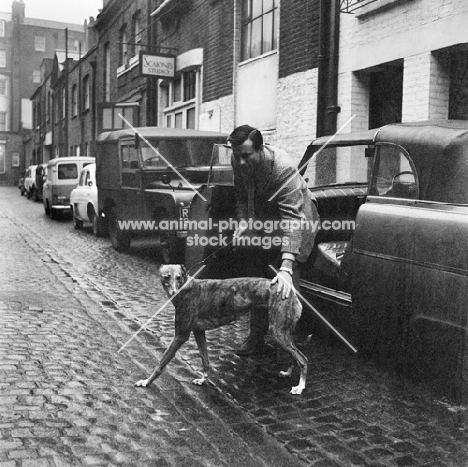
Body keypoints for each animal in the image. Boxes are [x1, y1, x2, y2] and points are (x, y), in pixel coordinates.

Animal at [133, 266, 308, 394]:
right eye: (166, 277)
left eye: (179, 277)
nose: (174, 292)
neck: (187, 287)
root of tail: (292, 293)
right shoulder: (199, 332)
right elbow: (205, 360)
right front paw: (203, 380)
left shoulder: (180, 336)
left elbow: (161, 363)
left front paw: (146, 381)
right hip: (282, 332)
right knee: (295, 356)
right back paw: (288, 373)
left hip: (278, 332)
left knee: (303, 358)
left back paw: (300, 387)